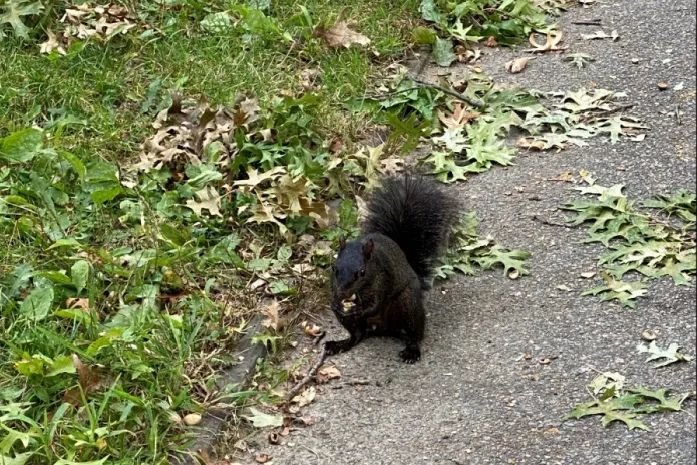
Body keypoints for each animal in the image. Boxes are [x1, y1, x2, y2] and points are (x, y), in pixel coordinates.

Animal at [328, 174, 460, 362]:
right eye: (334, 269)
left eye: (362, 272)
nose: (343, 292)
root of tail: (382, 328)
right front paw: (336, 304)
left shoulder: (383, 278)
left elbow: (374, 304)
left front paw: (358, 309)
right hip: (355, 323)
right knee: (357, 335)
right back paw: (339, 344)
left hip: (408, 304)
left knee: (414, 334)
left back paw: (411, 350)